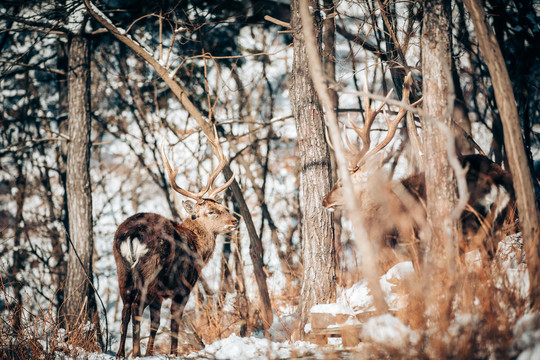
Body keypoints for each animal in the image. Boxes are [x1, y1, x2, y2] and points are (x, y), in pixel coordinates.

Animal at [113, 127, 238, 358]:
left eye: (223, 207)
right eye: (211, 211)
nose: (234, 221)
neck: (198, 249)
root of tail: (131, 235)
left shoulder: (158, 295)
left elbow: (155, 323)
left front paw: (150, 352)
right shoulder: (183, 287)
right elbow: (174, 322)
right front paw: (173, 352)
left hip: (122, 269)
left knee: (126, 308)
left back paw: (120, 354)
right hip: (150, 270)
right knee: (135, 307)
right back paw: (134, 352)